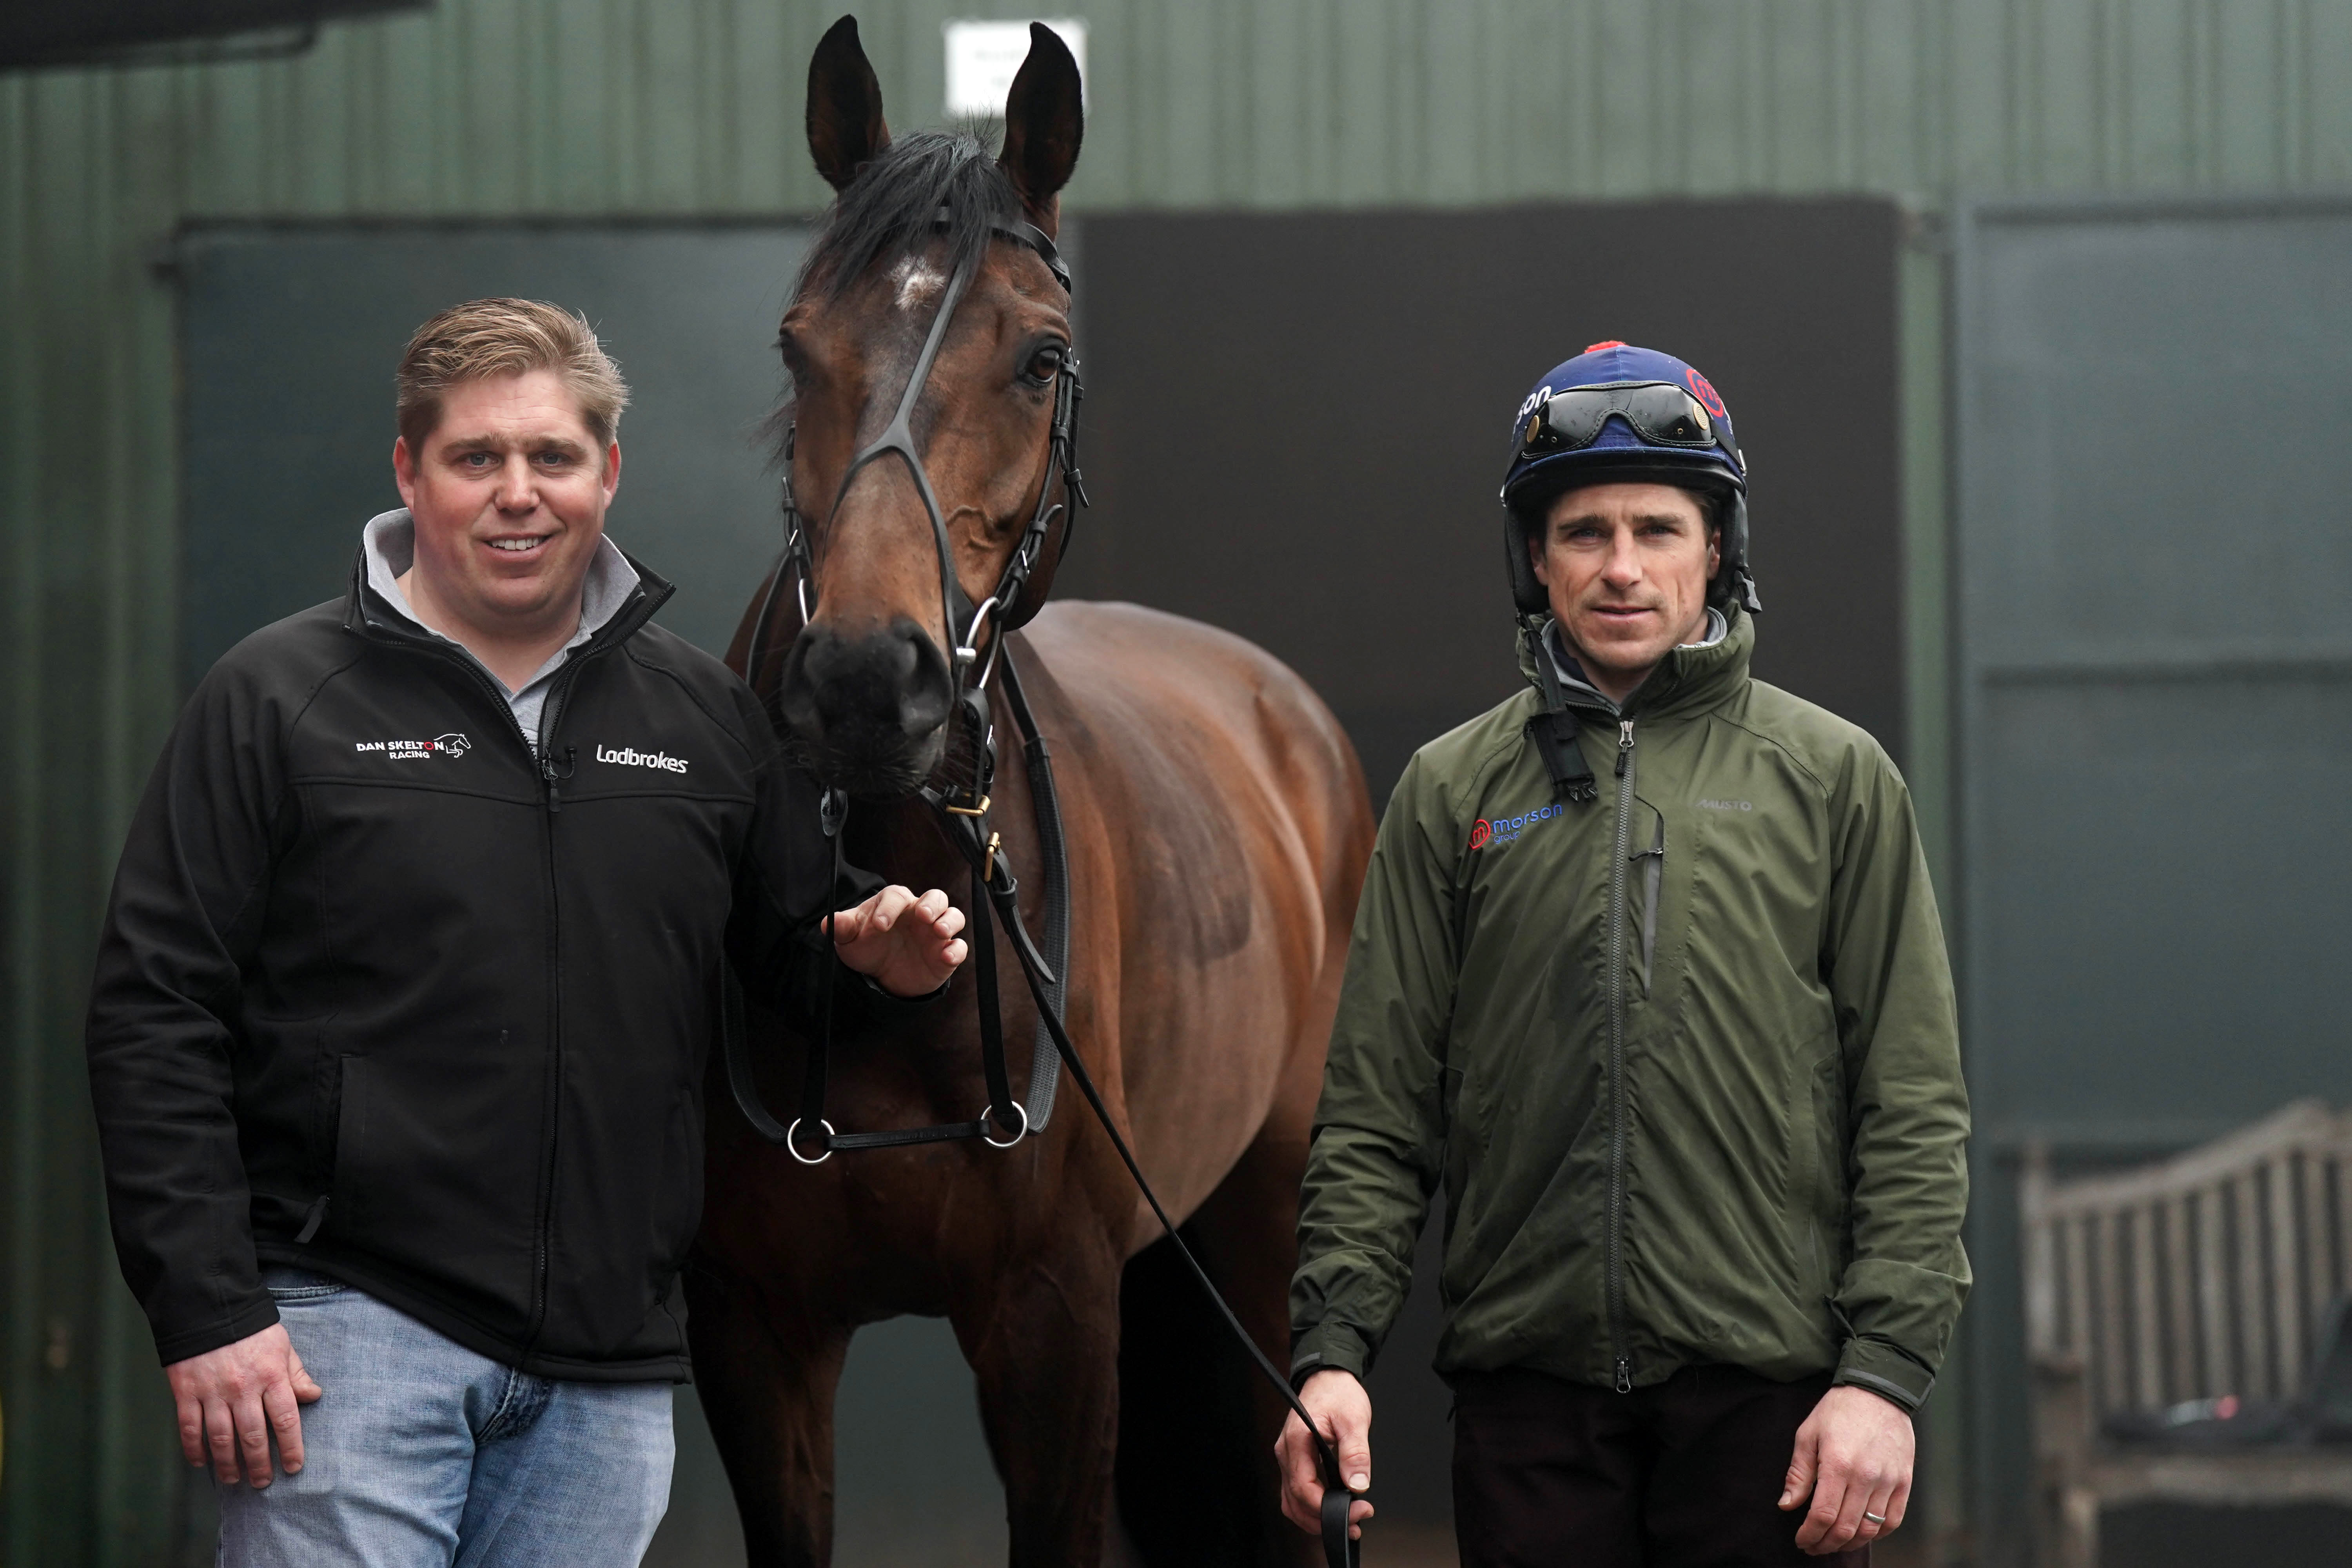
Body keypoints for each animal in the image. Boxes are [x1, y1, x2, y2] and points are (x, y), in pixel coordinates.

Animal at [682, 15, 1374, 1568]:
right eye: (794, 345)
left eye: (1041, 357)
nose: (865, 682)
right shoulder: (756, 1335)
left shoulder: (1056, 1328)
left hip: (1267, 1212)